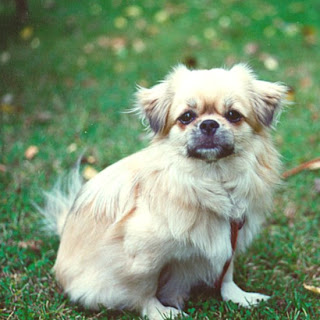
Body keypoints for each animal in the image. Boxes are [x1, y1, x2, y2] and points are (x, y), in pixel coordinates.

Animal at [40, 63, 288, 318]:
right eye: (187, 117)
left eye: (233, 115)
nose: (209, 123)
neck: (213, 180)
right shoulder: (141, 255)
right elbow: (145, 290)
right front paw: (161, 312)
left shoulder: (231, 238)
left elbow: (226, 274)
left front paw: (240, 297)